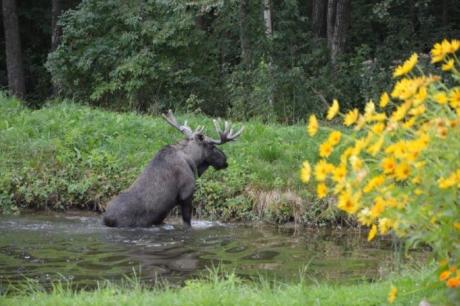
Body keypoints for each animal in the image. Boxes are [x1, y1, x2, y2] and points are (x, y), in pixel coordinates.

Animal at [102, 110, 243, 227]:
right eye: (212, 146)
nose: (225, 160)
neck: (193, 161)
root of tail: (106, 219)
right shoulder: (186, 193)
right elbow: (187, 222)